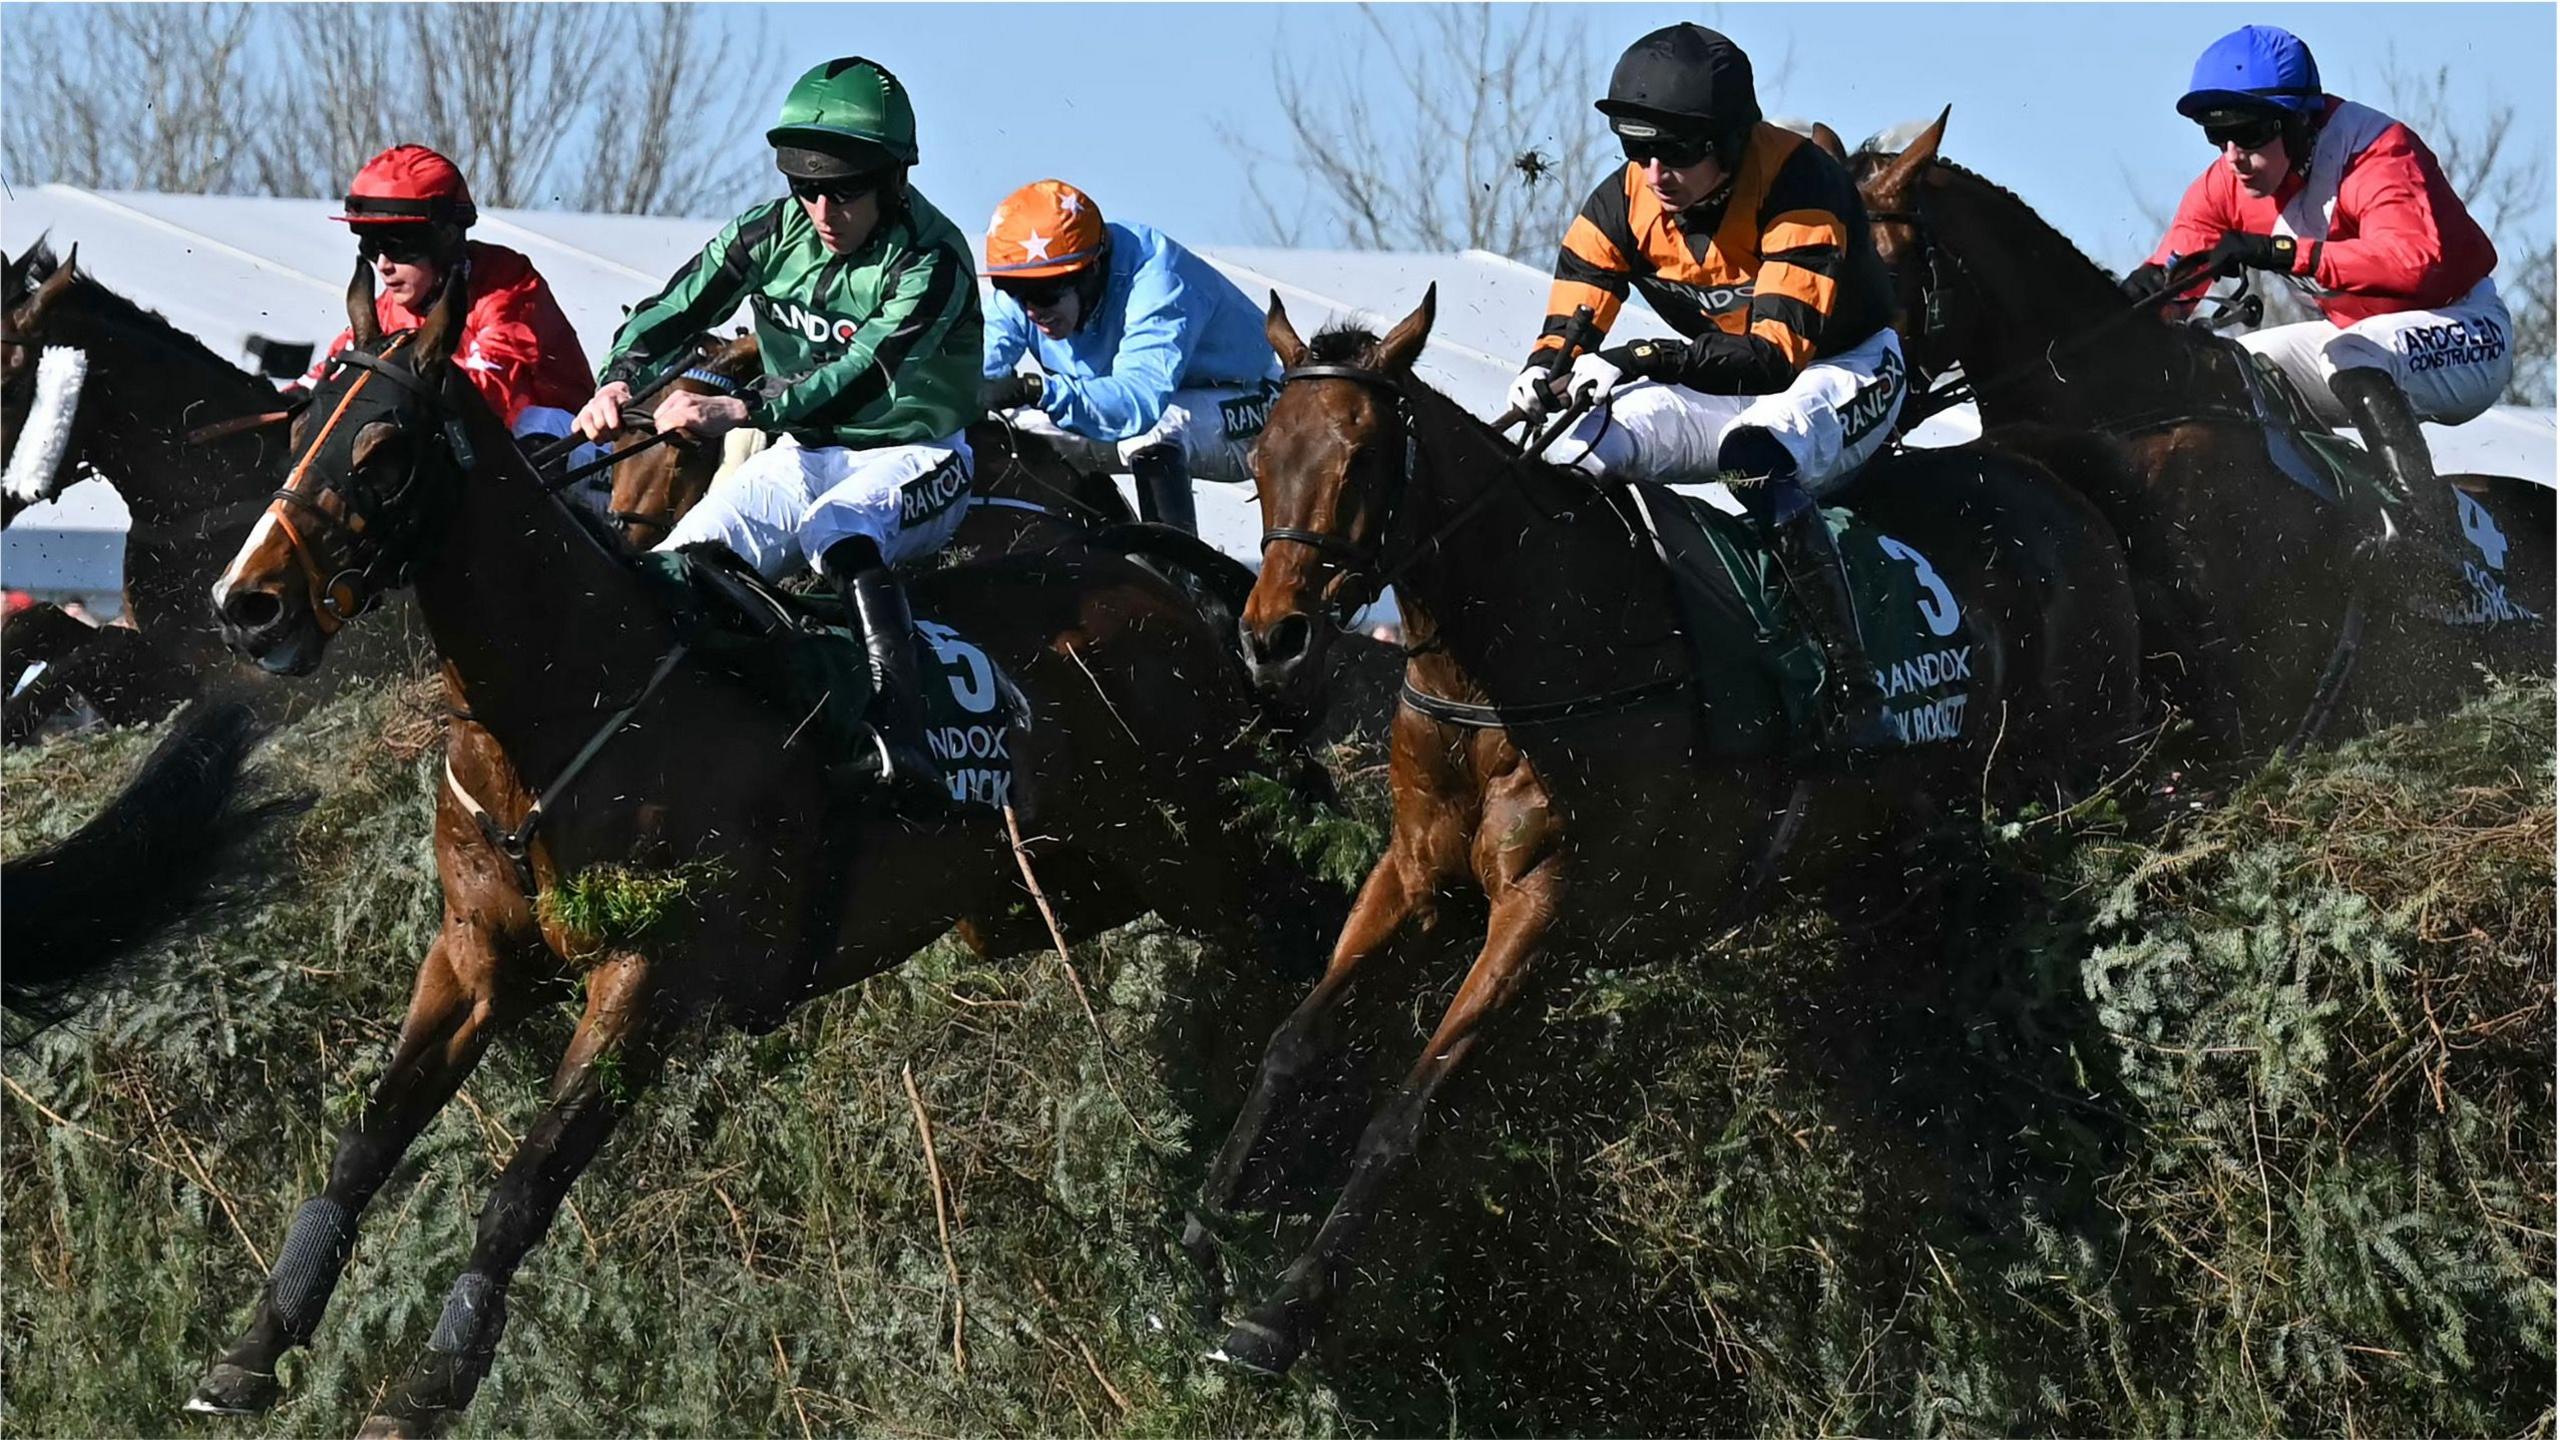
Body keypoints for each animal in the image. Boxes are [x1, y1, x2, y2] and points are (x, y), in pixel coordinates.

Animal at [191, 266, 1336, 1436]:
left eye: (383, 448)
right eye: (297, 430)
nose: (247, 606)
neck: (571, 714)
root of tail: (1152, 584)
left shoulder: (648, 978)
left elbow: (522, 1185)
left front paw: (429, 1381)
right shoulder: (474, 955)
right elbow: (366, 1139)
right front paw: (255, 1344)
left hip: (1208, 851)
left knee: (1310, 949)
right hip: (1057, 890)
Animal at [1177, 286, 2148, 1375]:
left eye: (1361, 456)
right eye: (1260, 456)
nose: (1271, 639)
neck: (1522, 653)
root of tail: (2069, 505)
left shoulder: (1547, 911)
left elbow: (1409, 1110)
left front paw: (1278, 1314)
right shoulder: (1414, 871)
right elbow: (1294, 1042)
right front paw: (1198, 1242)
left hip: (2058, 809)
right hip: (1889, 867)